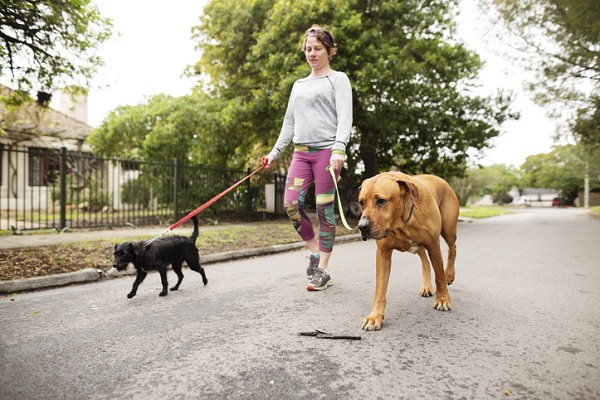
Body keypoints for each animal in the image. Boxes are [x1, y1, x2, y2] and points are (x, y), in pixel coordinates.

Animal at [356, 172, 460, 332]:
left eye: (381, 201)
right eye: (361, 202)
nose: (362, 227)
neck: (401, 223)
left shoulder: (434, 245)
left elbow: (439, 276)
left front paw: (443, 299)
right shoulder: (383, 252)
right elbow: (380, 289)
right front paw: (375, 316)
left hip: (448, 229)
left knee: (452, 248)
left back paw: (449, 274)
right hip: (417, 247)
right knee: (425, 261)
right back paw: (427, 286)